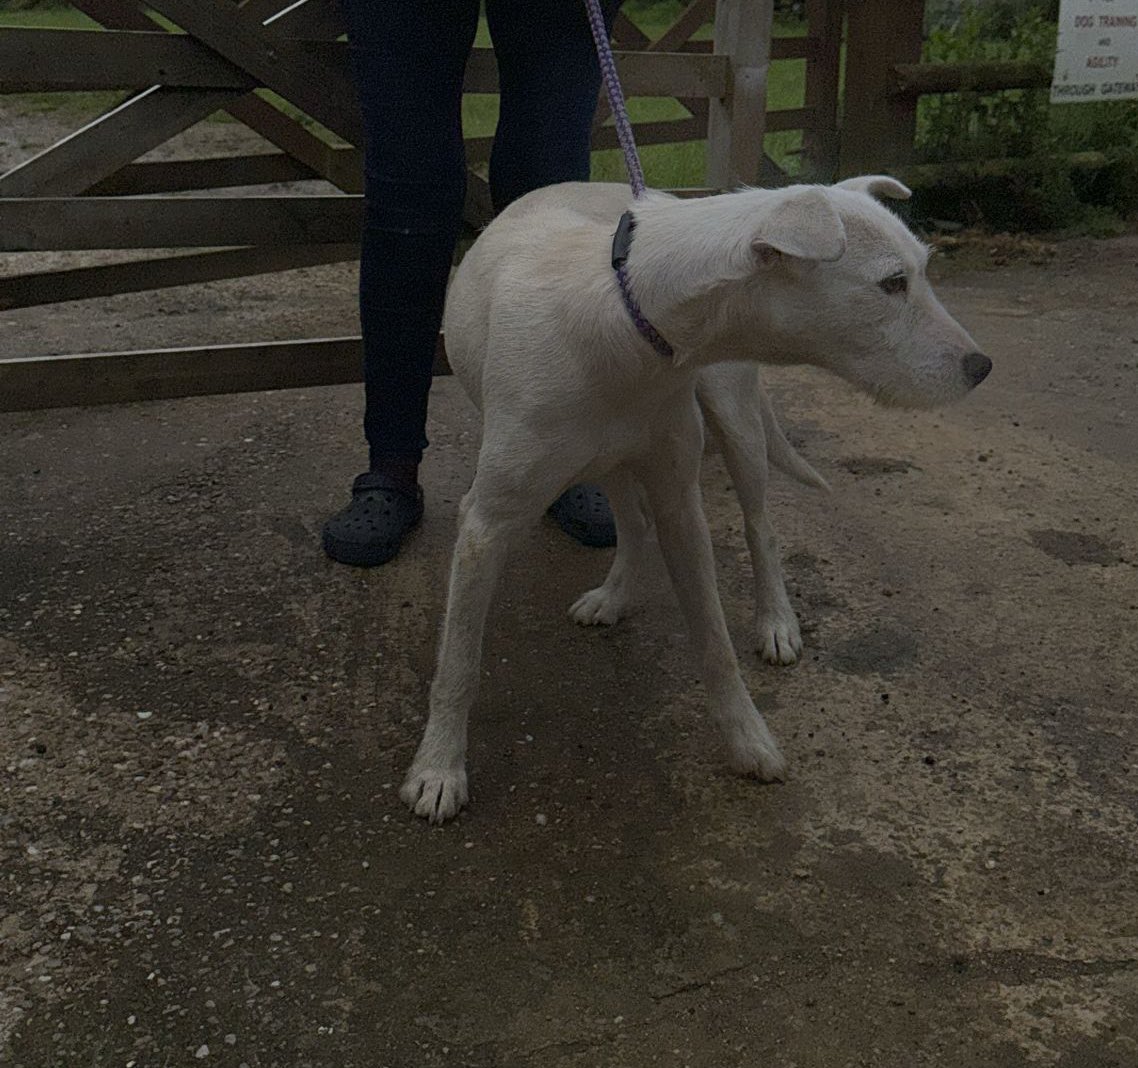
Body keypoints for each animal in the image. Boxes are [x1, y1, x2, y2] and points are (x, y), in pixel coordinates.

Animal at [400, 176, 987, 824]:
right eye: (892, 283)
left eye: (922, 271)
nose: (982, 367)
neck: (631, 316)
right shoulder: (487, 523)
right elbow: (458, 661)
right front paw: (438, 768)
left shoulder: (681, 505)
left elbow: (715, 644)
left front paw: (748, 740)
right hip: (617, 463)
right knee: (633, 524)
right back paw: (615, 596)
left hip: (736, 421)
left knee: (760, 527)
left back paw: (776, 621)